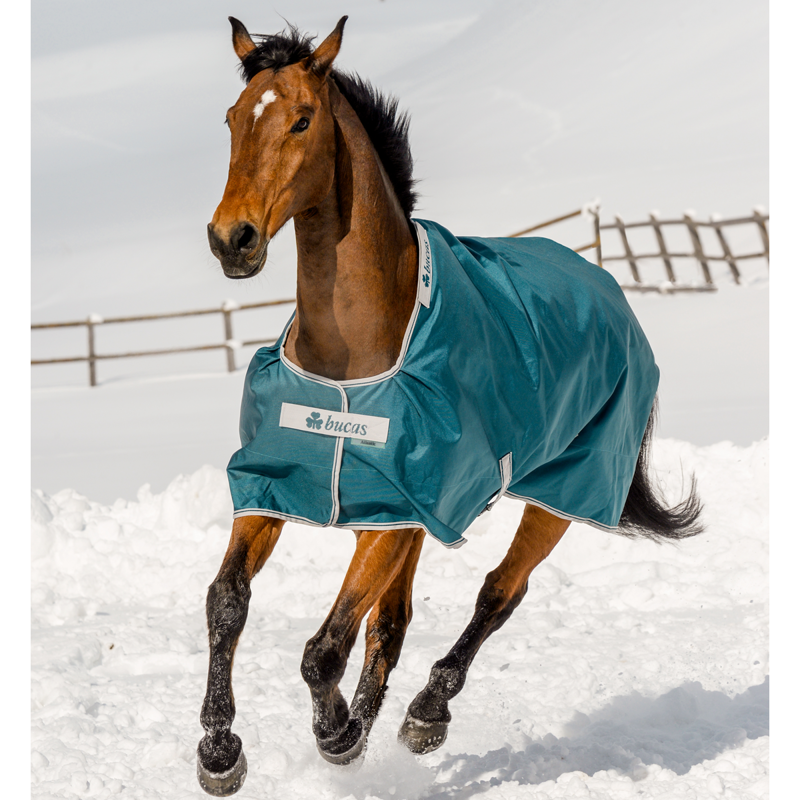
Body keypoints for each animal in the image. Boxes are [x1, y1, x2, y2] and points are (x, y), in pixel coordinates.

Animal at [198, 16, 703, 796]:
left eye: (302, 120)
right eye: (231, 119)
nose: (233, 240)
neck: (354, 359)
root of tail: (607, 288)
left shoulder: (399, 513)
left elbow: (324, 648)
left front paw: (334, 735)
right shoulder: (282, 492)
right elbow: (229, 603)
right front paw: (221, 750)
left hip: (562, 493)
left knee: (498, 592)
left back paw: (425, 714)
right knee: (394, 622)